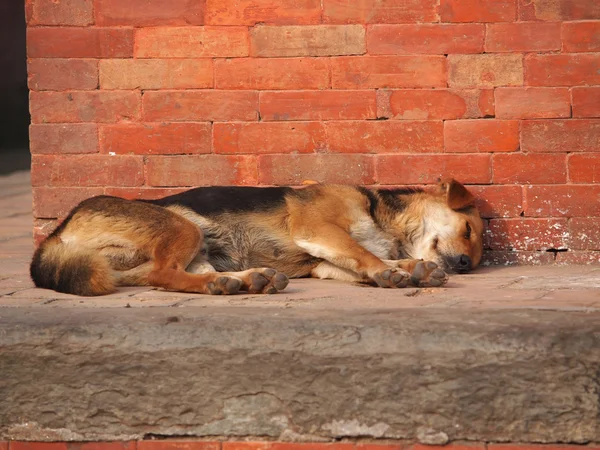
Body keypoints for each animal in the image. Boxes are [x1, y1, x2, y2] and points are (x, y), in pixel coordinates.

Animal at [30, 178, 486, 298]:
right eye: (468, 230)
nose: (466, 266)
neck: (382, 217)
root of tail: (57, 232)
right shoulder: (318, 230)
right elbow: (365, 255)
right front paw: (393, 273)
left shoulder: (322, 263)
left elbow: (370, 260)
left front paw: (414, 268)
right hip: (184, 227)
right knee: (164, 274)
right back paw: (226, 284)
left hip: (192, 249)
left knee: (167, 275)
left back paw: (245, 280)